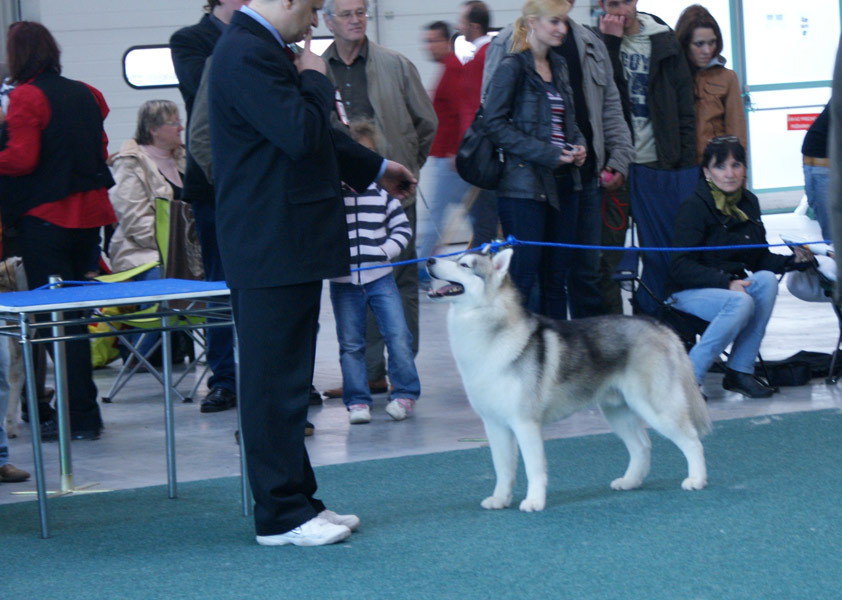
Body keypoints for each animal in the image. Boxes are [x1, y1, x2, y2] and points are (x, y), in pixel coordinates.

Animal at [427, 248, 711, 512]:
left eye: (464, 265)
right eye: (457, 258)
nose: (429, 260)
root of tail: (658, 325)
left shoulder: (525, 423)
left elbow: (533, 468)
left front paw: (534, 501)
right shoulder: (494, 425)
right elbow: (503, 468)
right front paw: (499, 499)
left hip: (657, 408)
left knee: (692, 441)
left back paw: (696, 479)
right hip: (617, 411)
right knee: (642, 446)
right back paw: (630, 481)